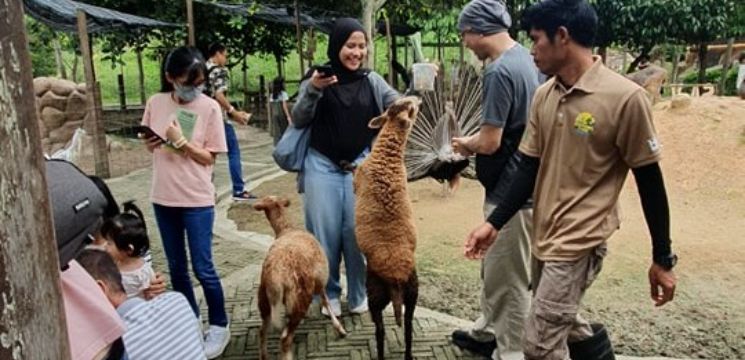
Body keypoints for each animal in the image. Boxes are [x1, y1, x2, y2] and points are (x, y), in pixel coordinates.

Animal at [254, 197, 348, 360]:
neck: (287, 229)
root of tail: (275, 276)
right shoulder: (320, 282)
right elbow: (327, 302)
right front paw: (340, 329)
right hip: (300, 297)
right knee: (285, 338)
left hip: (264, 300)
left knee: (262, 330)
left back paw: (264, 355)